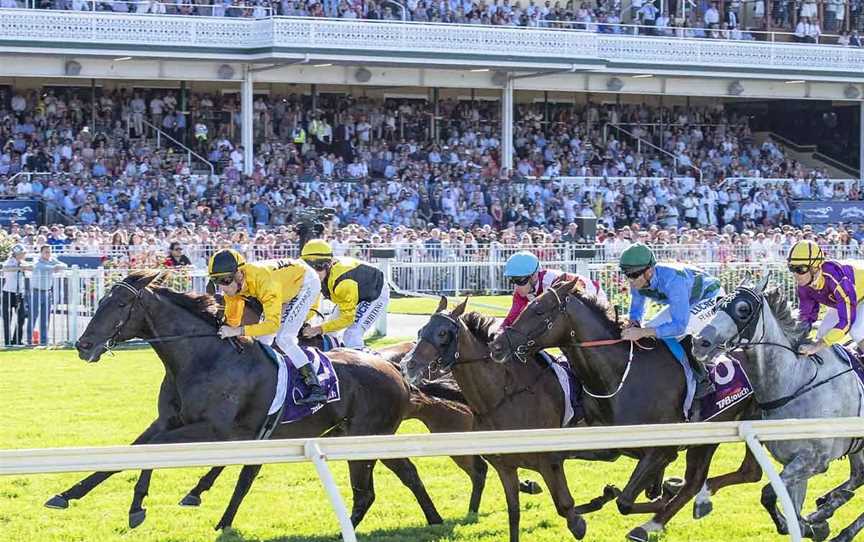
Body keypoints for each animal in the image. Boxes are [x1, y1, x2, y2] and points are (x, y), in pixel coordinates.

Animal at [46, 272, 442, 532]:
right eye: (99, 300)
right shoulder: (170, 421)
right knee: (394, 478)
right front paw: (68, 494)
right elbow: (131, 452)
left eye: (121, 303)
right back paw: (432, 519)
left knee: (379, 486)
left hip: (369, 435)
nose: (83, 345)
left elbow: (155, 449)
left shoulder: (214, 430)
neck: (203, 358)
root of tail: (392, 368)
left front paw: (137, 505)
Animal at [404, 298, 588, 542]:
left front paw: (579, 522)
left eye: (443, 333)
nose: (409, 365)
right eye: (421, 330)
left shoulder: (549, 461)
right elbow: (514, 513)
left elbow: (564, 505)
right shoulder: (504, 466)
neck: (503, 396)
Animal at [492, 280, 764, 542]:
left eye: (539, 310)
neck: (618, 376)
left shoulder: (661, 451)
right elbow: (560, 459)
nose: (497, 345)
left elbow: (625, 501)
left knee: (697, 482)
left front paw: (657, 495)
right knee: (745, 472)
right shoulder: (604, 442)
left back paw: (652, 522)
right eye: (525, 305)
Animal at [696, 280, 864, 542]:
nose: (699, 342)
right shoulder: (793, 463)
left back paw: (839, 524)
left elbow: (768, 493)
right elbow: (792, 508)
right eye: (717, 305)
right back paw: (829, 505)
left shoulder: (812, 461)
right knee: (858, 475)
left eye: (743, 309)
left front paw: (808, 524)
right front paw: (813, 522)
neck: (795, 382)